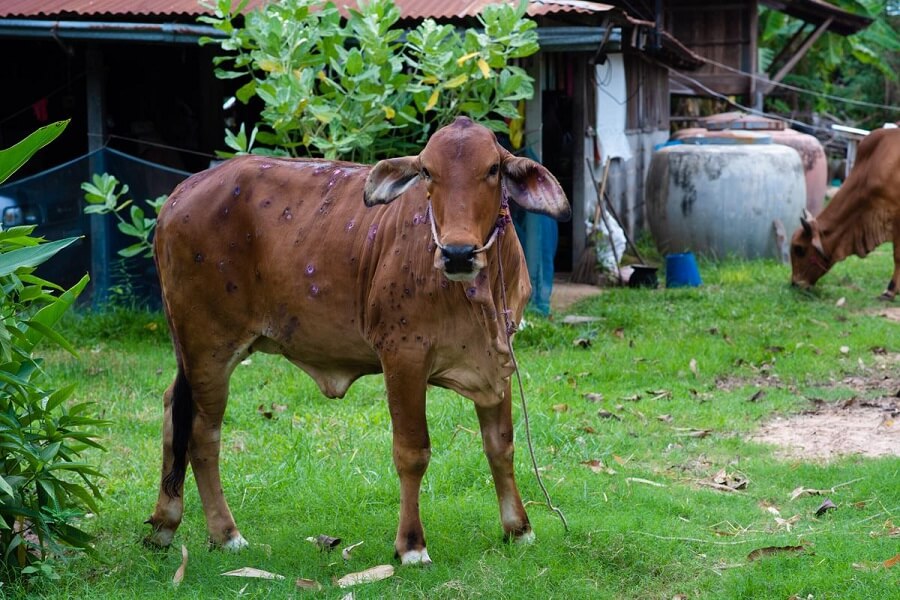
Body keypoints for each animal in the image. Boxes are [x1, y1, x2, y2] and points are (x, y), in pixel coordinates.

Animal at [147, 117, 568, 564]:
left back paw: (164, 525)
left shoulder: (498, 356)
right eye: (427, 172)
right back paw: (226, 534)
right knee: (202, 434)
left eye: (492, 169)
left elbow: (500, 445)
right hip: (208, 345)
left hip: (193, 351)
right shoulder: (403, 355)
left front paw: (518, 528)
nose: (457, 253)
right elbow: (412, 452)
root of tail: (180, 194)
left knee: (173, 410)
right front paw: (411, 545)